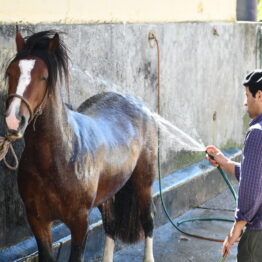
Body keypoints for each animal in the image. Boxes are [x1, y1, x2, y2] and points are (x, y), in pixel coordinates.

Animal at [4, 29, 158, 262]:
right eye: (10, 72)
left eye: (44, 76)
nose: (14, 121)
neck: (61, 156)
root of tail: (138, 103)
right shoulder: (38, 221)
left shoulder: (79, 222)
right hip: (108, 193)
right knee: (111, 226)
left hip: (144, 182)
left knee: (148, 222)